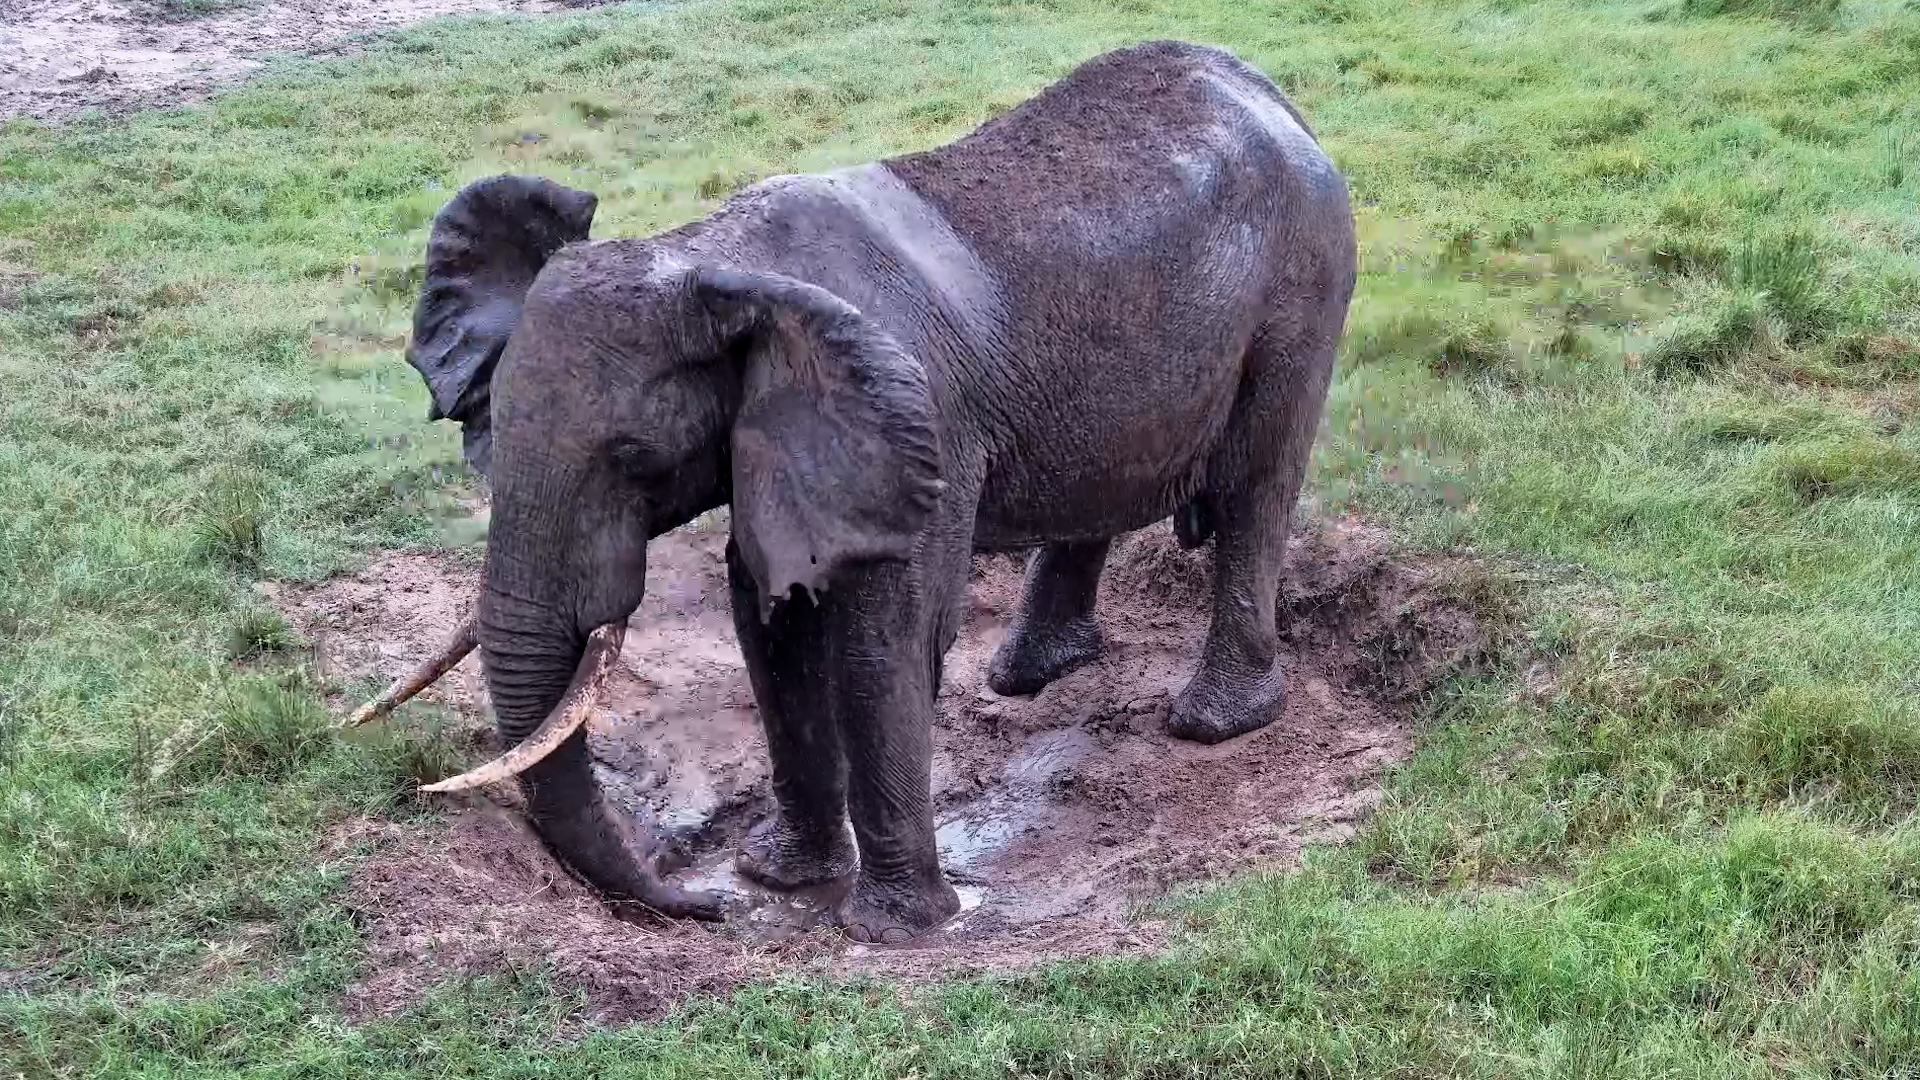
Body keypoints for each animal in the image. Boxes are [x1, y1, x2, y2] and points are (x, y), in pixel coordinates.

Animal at [374, 40, 1356, 943]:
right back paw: (1029, 676)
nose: (697, 903)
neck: (709, 257)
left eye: (635, 457)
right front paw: (776, 877)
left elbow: (884, 642)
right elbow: (769, 629)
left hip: (1303, 294)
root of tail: (1271, 93)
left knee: (1256, 489)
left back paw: (1211, 723)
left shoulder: (921, 429)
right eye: (492, 418)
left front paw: (890, 929)